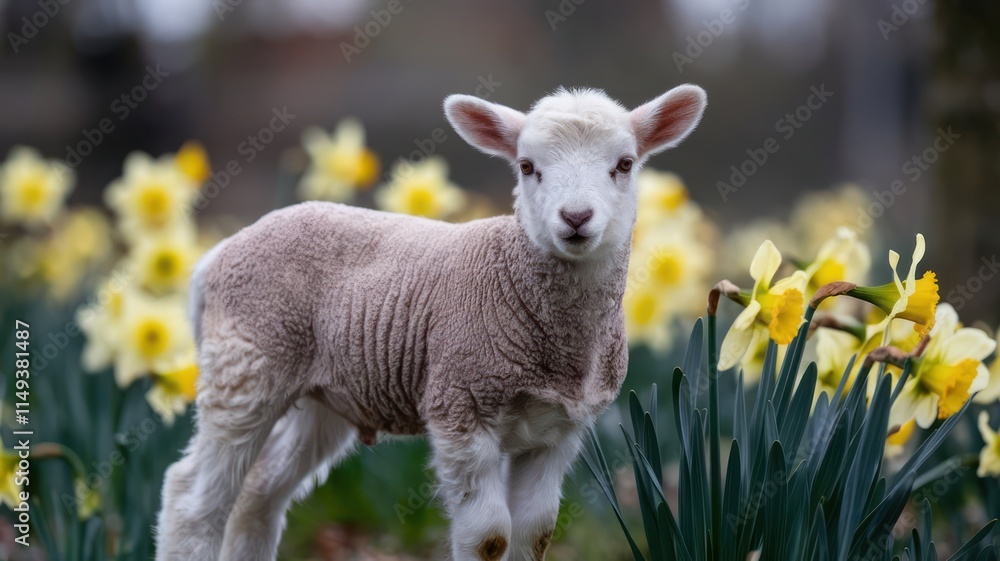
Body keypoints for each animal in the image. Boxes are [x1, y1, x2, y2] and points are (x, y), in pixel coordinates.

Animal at [155, 84, 707, 561]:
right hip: (248, 364)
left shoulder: (559, 429)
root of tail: (217, 255)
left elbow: (534, 534)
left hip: (322, 394)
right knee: (192, 498)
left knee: (259, 495)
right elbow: (489, 538)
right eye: (528, 167)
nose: (575, 218)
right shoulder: (460, 404)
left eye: (625, 164)